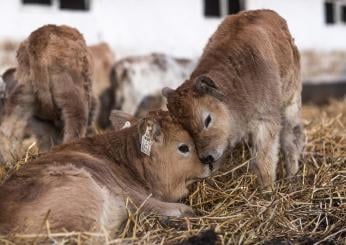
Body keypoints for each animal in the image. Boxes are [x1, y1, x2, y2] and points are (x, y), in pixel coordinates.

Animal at [0, 24, 94, 163]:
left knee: (8, 129)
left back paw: (10, 162)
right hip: (72, 97)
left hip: (23, 94)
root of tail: (41, 34)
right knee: (74, 127)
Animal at [164, 8, 304, 187]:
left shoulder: (265, 122)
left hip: (290, 104)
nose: (206, 157)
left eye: (207, 119)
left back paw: (292, 175)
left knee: (292, 138)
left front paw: (267, 188)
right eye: (184, 128)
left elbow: (263, 161)